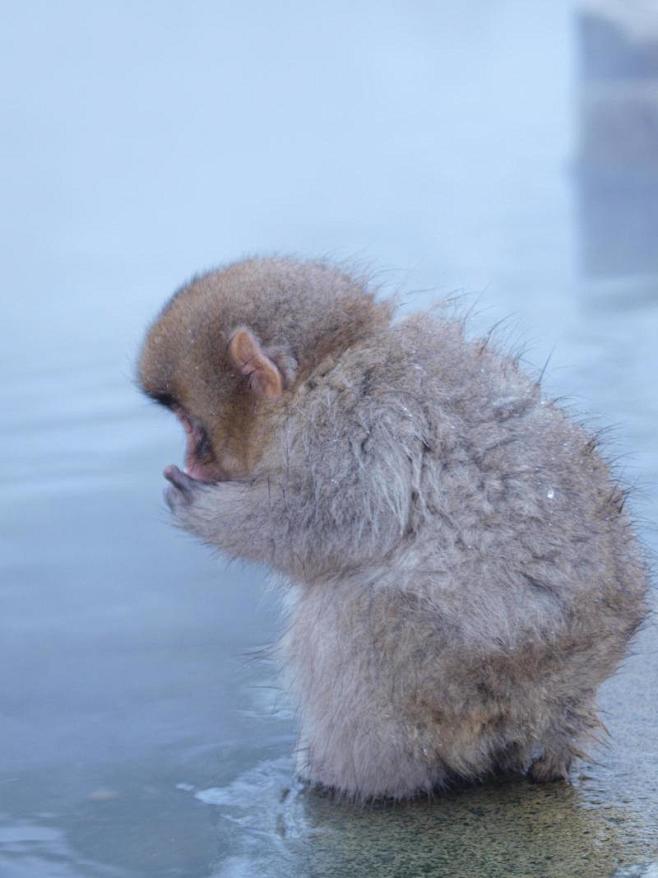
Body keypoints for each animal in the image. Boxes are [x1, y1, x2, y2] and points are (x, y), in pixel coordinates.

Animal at [138, 258, 644, 800]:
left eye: (192, 426)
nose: (192, 459)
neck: (328, 366)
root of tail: (566, 694)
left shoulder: (345, 425)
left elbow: (331, 523)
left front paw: (198, 506)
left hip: (464, 674)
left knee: (347, 611)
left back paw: (351, 775)